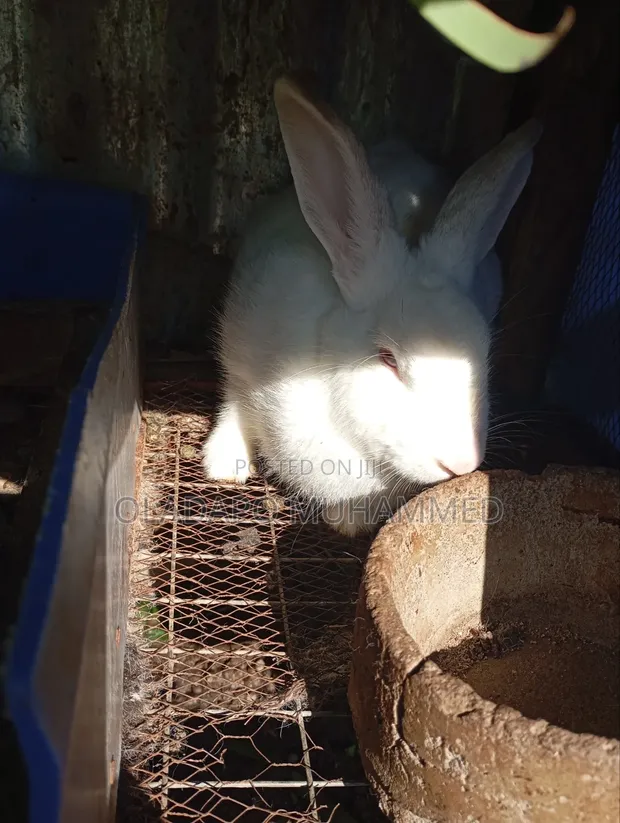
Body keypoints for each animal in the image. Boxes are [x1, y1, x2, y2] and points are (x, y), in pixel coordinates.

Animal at [202, 75, 541, 537]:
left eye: (484, 356)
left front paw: (347, 522)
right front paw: (223, 463)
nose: (461, 462)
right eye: (388, 359)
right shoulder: (242, 353)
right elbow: (235, 402)